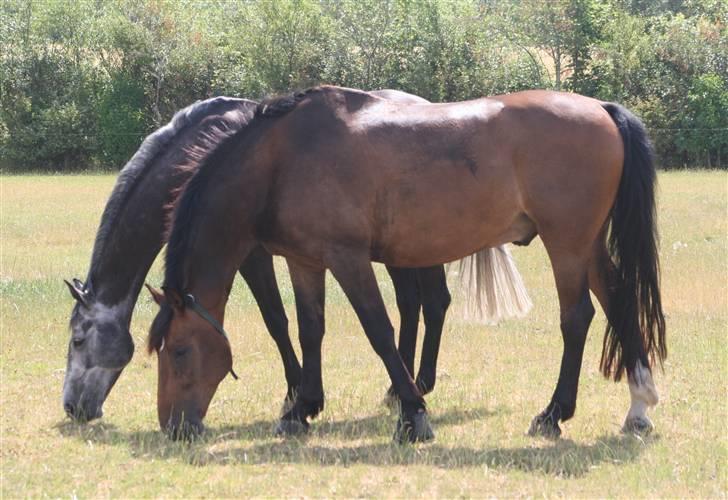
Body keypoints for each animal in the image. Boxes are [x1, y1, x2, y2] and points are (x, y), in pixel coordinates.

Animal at [61, 91, 528, 422]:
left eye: (78, 339)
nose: (71, 407)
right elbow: (301, 324)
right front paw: (302, 394)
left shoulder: (254, 255)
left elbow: (276, 319)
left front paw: (294, 392)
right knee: (412, 304)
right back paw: (399, 388)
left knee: (433, 303)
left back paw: (419, 384)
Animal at [151, 85, 668, 442]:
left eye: (179, 351)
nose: (173, 427)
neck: (283, 158)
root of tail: (601, 108)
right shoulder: (305, 262)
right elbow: (310, 330)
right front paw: (302, 409)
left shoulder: (349, 258)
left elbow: (378, 331)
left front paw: (413, 416)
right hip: (587, 245)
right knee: (619, 300)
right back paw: (639, 407)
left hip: (567, 243)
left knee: (577, 317)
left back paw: (553, 414)